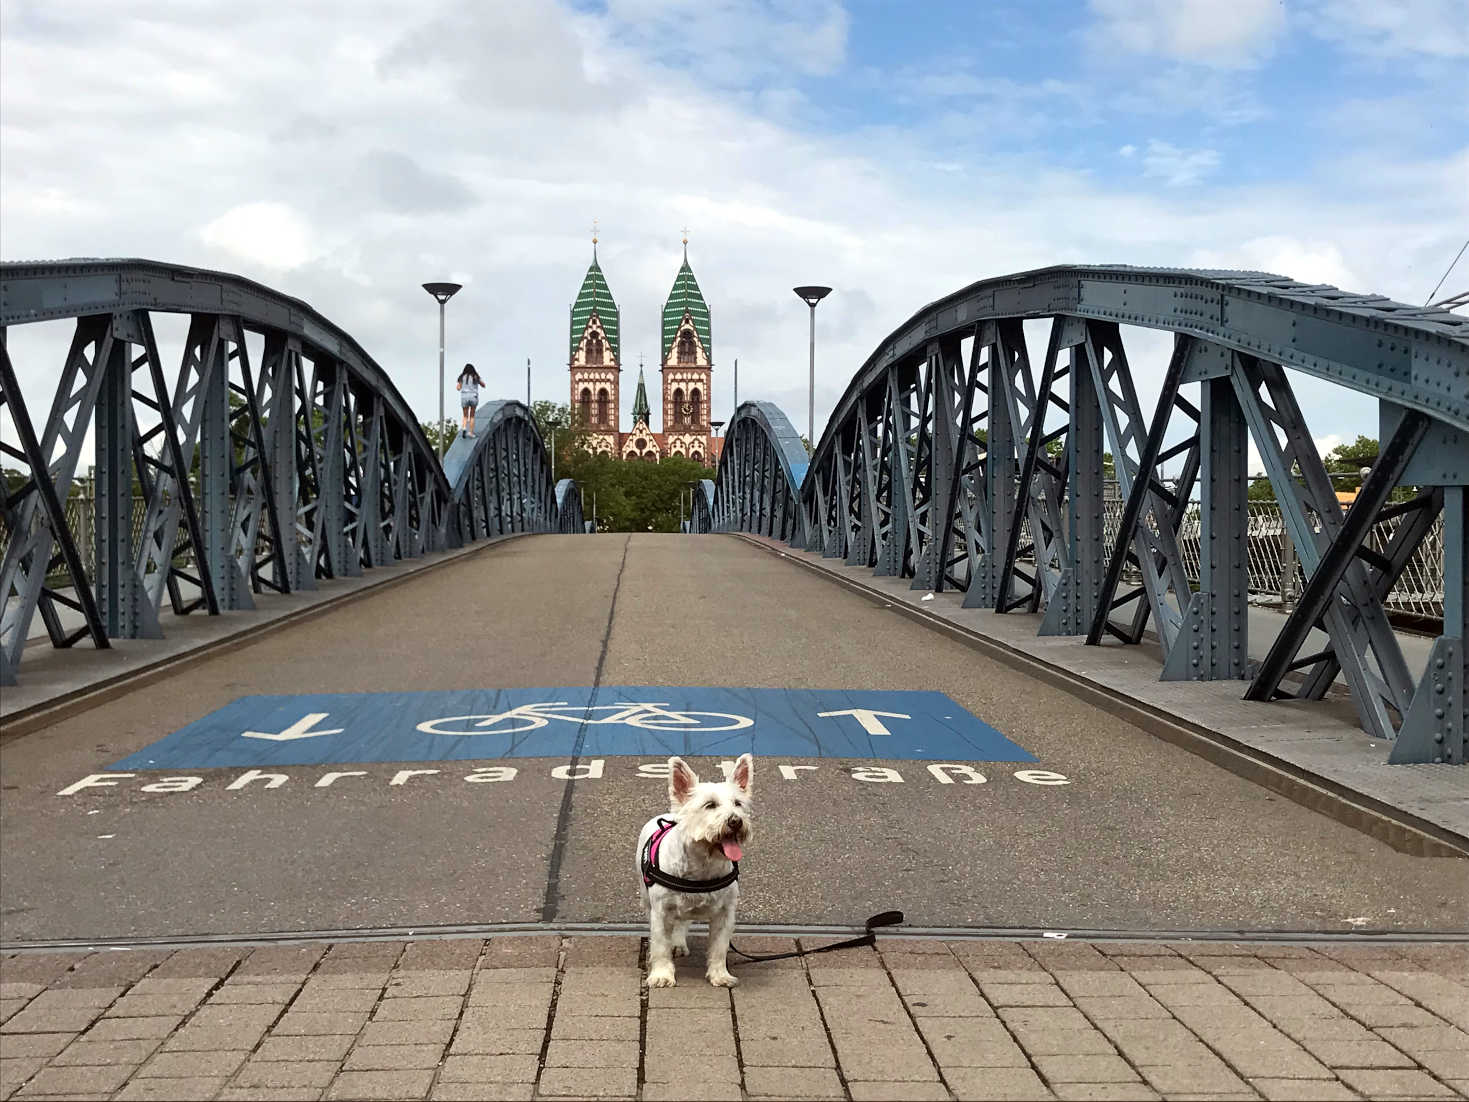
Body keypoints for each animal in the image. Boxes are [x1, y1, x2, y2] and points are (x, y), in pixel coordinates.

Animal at [634, 758, 752, 987]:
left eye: (738, 803)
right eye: (710, 805)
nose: (735, 821)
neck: (703, 865)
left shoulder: (725, 914)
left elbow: (719, 948)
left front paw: (720, 975)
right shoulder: (660, 911)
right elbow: (660, 944)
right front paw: (662, 975)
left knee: (682, 922)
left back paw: (679, 943)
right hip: (646, 896)